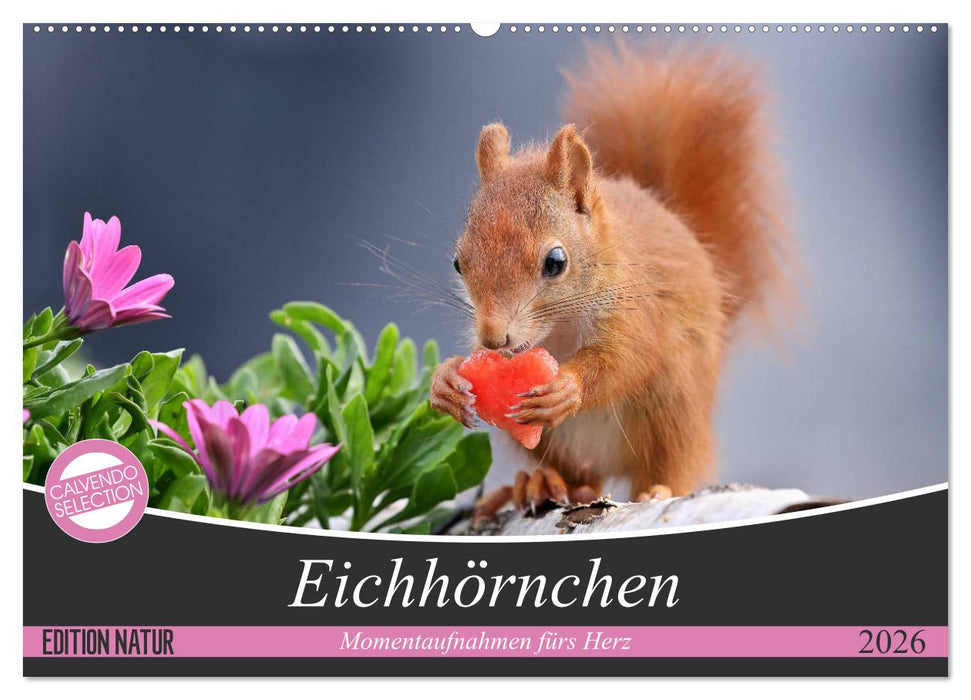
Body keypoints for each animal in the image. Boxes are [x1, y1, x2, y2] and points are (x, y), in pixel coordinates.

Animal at [429, 45, 791, 518]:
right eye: (458, 262)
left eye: (555, 261)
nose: (494, 338)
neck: (558, 330)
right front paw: (446, 380)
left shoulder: (638, 310)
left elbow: (626, 358)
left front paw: (568, 386)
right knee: (581, 477)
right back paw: (541, 483)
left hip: (675, 406)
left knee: (672, 463)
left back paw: (658, 490)